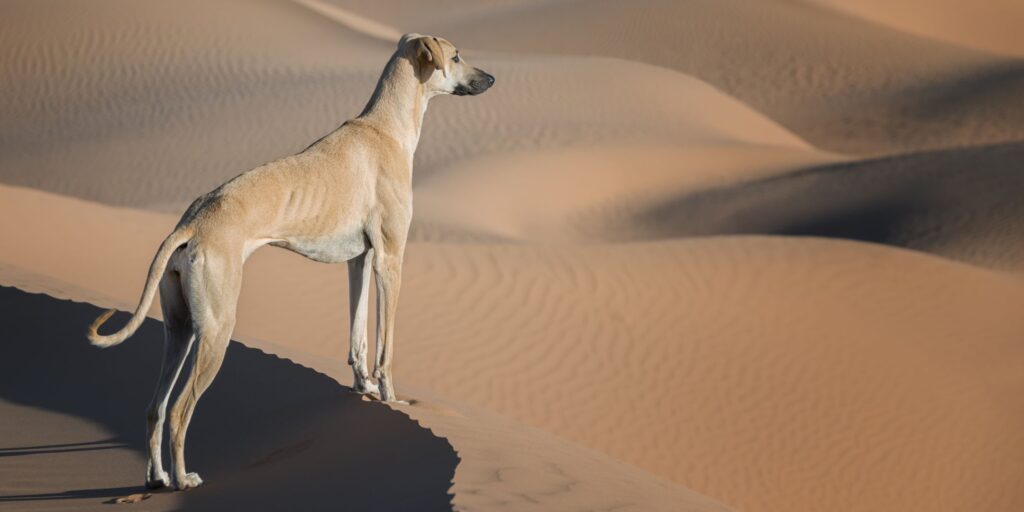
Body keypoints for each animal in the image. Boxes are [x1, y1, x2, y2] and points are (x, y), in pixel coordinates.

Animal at [86, 34, 493, 489]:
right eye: (456, 56)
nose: (491, 78)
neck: (385, 127)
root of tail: (192, 221)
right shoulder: (391, 258)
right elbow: (386, 345)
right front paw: (391, 397)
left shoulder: (360, 260)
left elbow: (357, 335)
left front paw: (364, 387)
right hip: (217, 330)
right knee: (177, 409)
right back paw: (182, 479)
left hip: (180, 327)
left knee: (154, 406)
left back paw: (157, 478)